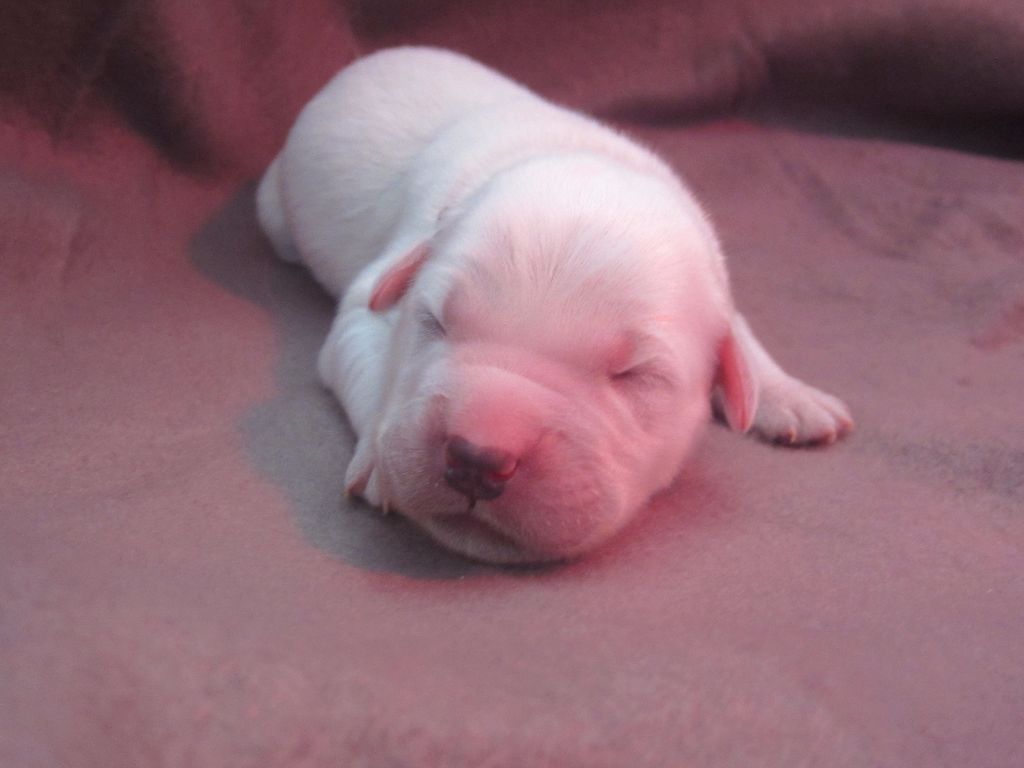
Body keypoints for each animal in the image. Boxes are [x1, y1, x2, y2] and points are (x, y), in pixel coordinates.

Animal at [256, 46, 853, 563]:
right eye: (434, 322)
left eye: (634, 376)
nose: (477, 459)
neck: (572, 153)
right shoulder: (374, 292)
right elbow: (366, 349)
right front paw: (379, 458)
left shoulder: (716, 284)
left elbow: (740, 332)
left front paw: (792, 395)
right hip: (275, 211)